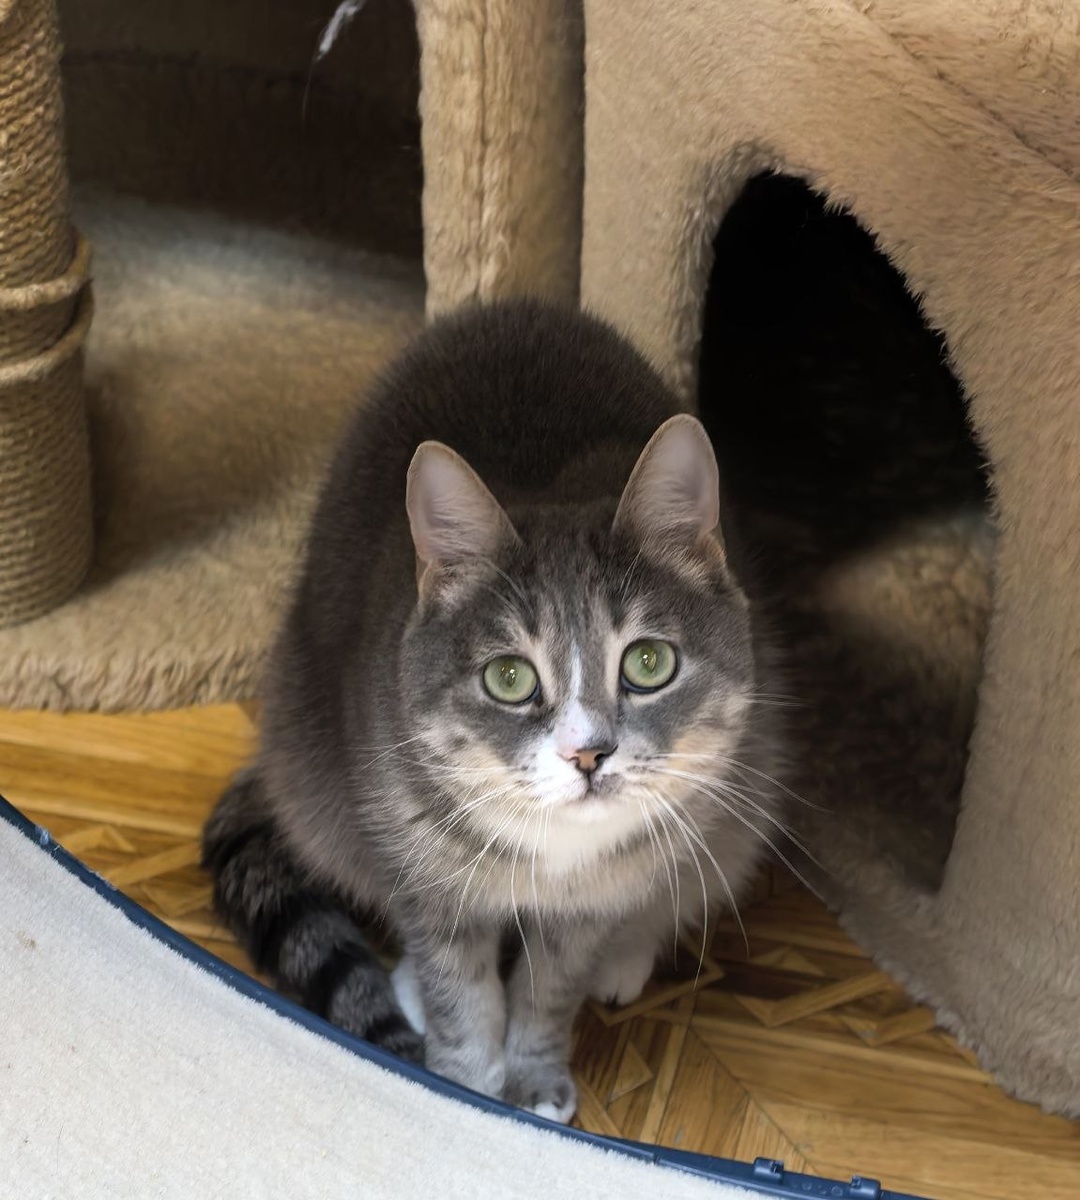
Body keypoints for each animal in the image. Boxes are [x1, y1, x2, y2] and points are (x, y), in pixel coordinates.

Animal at [202, 299, 784, 1122]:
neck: (554, 858)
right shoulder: (426, 871)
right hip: (317, 777)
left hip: (740, 800)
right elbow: (463, 994)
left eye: (649, 663)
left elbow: (548, 992)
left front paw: (533, 1076)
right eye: (509, 677)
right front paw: (466, 1087)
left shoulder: (589, 906)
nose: (587, 752)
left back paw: (627, 955)